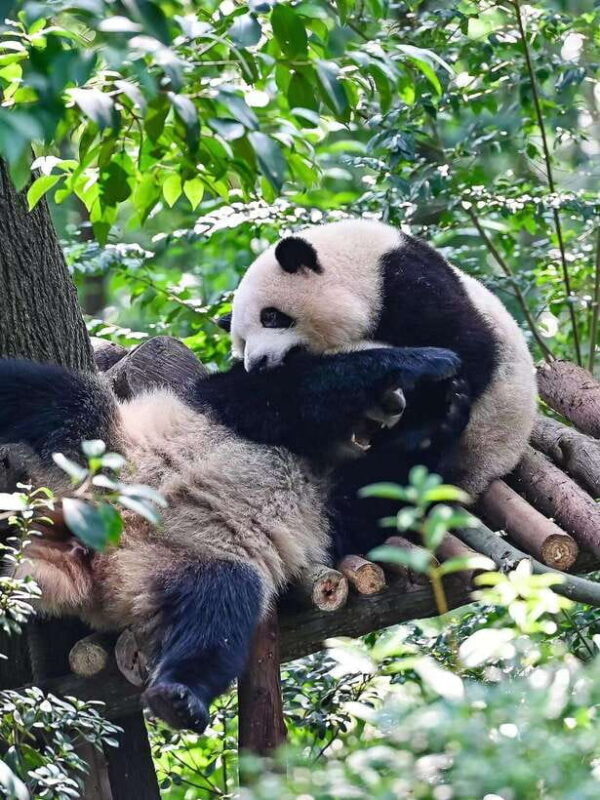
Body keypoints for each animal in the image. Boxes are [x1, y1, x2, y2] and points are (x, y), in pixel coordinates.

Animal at [0, 344, 463, 734]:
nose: (396, 405)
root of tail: (91, 552)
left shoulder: (346, 506)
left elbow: (378, 495)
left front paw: (444, 408)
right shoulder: (236, 405)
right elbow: (296, 394)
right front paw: (433, 367)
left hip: (180, 559)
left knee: (219, 607)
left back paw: (177, 698)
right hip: (98, 451)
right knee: (49, 396)